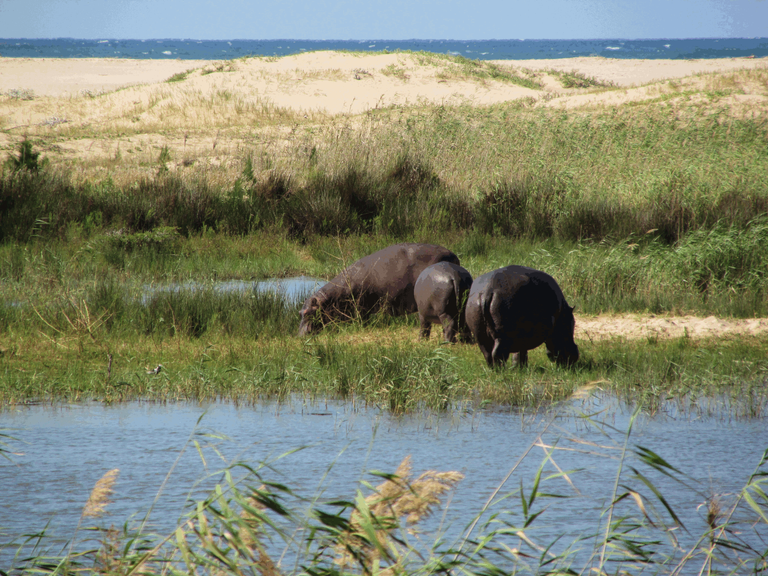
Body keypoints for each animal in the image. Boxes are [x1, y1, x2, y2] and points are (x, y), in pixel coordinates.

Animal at [296, 244, 460, 338]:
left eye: (308, 312)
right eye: (299, 312)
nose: (299, 336)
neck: (330, 299)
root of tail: (454, 255)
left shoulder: (361, 309)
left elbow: (362, 321)